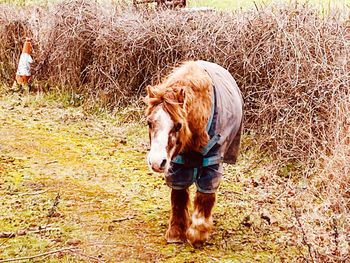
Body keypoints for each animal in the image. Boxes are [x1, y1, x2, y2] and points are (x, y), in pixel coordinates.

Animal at [145, 60, 243, 248]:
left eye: (178, 125)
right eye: (149, 123)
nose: (156, 162)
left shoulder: (212, 160)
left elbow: (205, 195)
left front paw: (198, 233)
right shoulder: (177, 162)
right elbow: (178, 195)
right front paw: (176, 232)